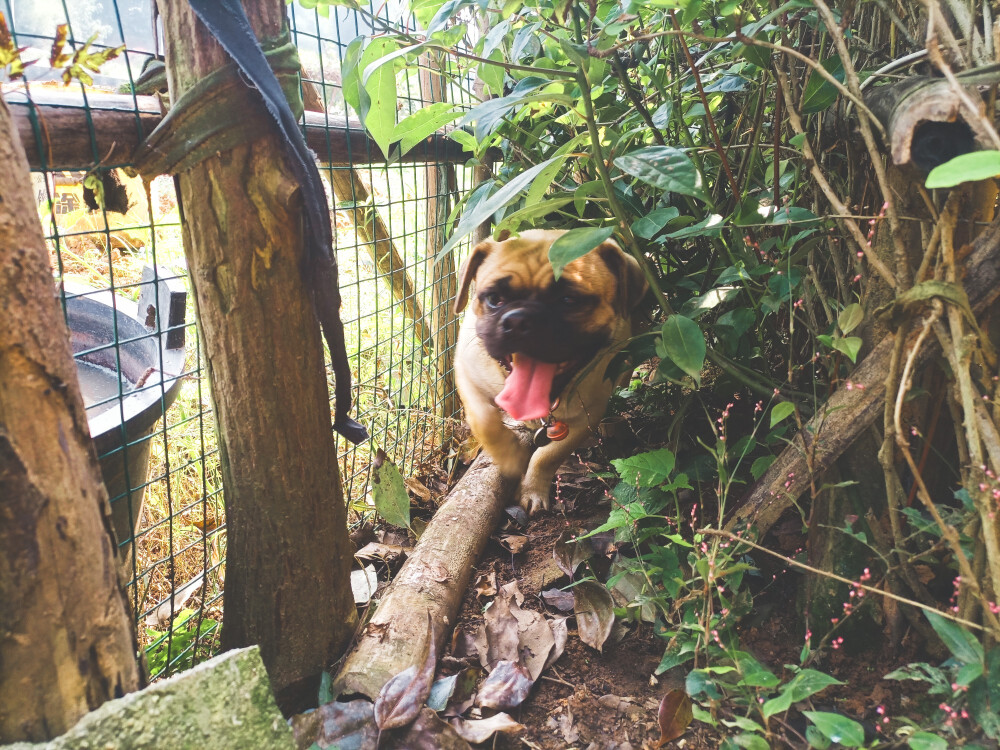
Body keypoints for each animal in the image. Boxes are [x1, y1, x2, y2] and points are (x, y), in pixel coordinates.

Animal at [456, 226, 648, 516]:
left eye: (569, 300)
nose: (518, 320)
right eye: (494, 299)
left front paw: (532, 489)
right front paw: (511, 458)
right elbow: (485, 421)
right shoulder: (467, 374)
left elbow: (547, 457)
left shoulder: (587, 418)